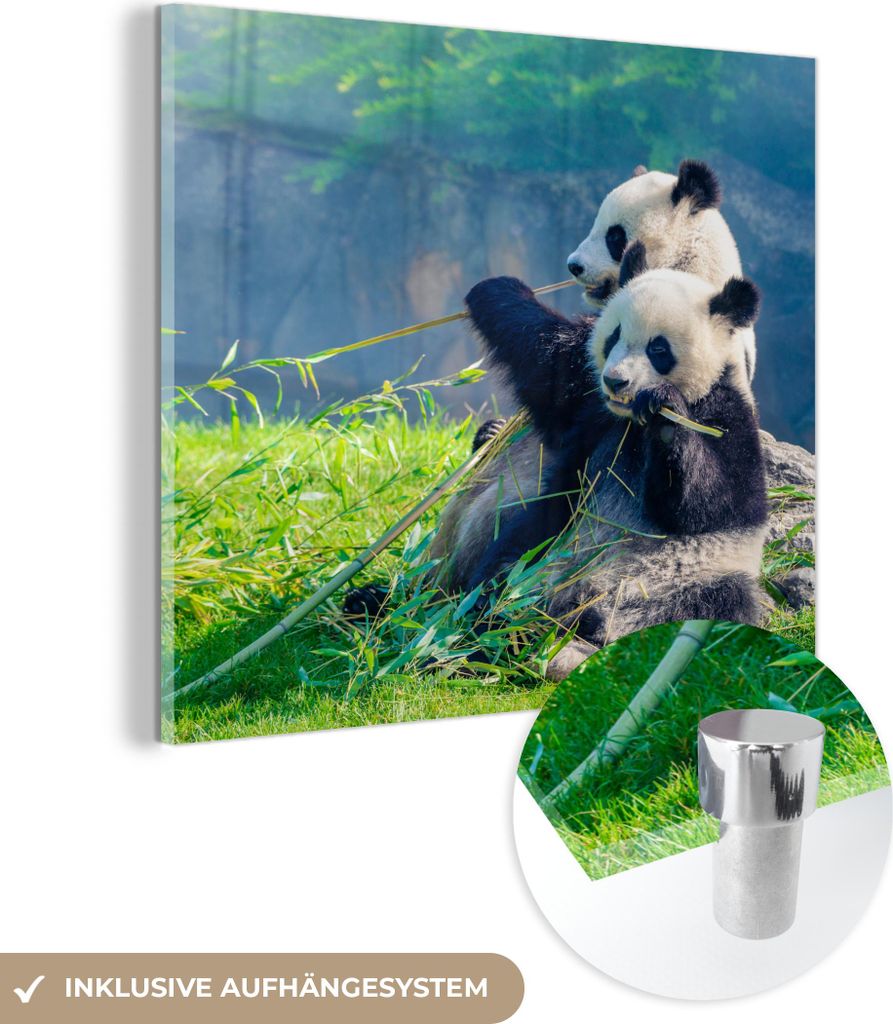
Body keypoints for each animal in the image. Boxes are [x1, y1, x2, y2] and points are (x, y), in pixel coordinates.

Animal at [451, 244, 768, 679]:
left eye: (658, 348)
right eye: (614, 335)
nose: (616, 381)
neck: (630, 422)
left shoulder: (727, 414)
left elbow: (713, 504)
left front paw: (665, 415)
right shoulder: (592, 412)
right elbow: (551, 374)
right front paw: (496, 287)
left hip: (693, 577)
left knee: (722, 602)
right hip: (546, 551)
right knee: (502, 574)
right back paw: (483, 640)